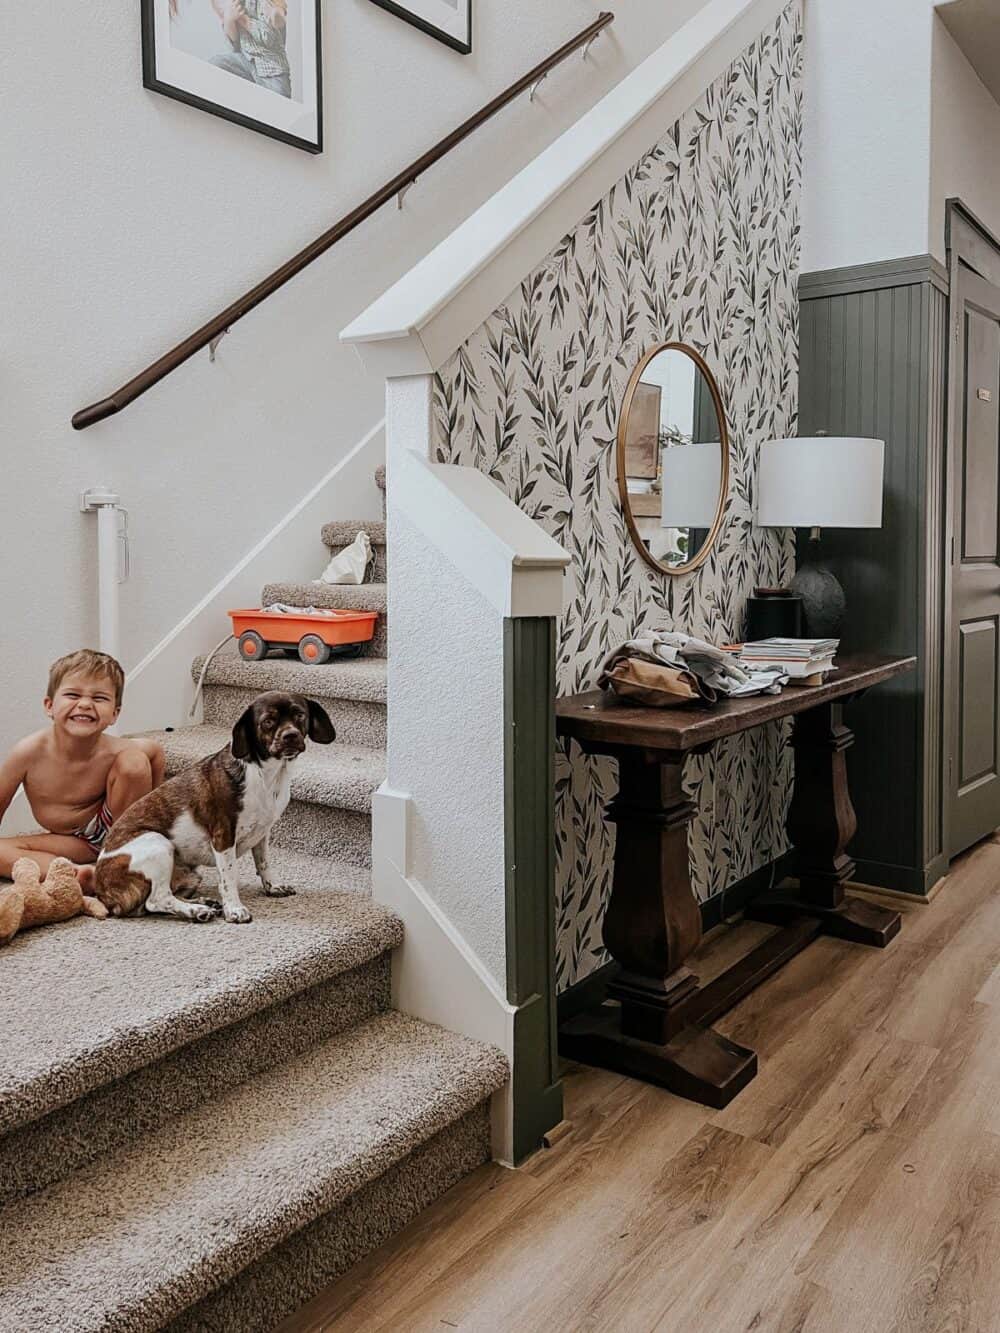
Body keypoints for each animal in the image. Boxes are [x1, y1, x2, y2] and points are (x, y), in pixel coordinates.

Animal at [91, 693, 333, 922]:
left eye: (300, 715)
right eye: (268, 721)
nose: (290, 735)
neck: (267, 776)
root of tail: (102, 890)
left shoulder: (263, 833)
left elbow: (264, 862)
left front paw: (273, 886)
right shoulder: (223, 836)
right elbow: (229, 877)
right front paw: (234, 910)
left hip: (190, 874)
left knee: (159, 901)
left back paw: (203, 904)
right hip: (157, 843)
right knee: (157, 900)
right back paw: (196, 911)